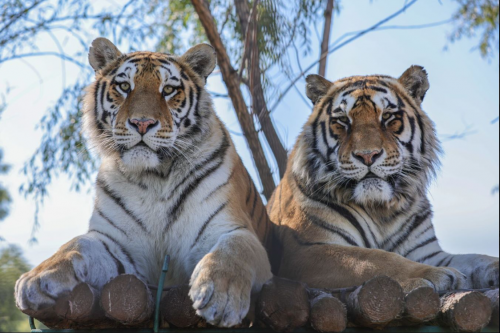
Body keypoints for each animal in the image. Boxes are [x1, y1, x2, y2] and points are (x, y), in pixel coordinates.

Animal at [16, 38, 274, 326]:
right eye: (124, 86)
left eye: (169, 90)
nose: (142, 123)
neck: (155, 177)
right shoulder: (118, 245)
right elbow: (75, 244)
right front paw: (36, 278)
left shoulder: (232, 229)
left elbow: (233, 249)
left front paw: (221, 295)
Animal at [268, 66, 498, 290]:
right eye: (342, 121)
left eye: (387, 117)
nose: (367, 155)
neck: (382, 211)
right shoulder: (307, 251)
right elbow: (377, 260)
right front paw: (437, 274)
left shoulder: (428, 253)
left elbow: (475, 258)